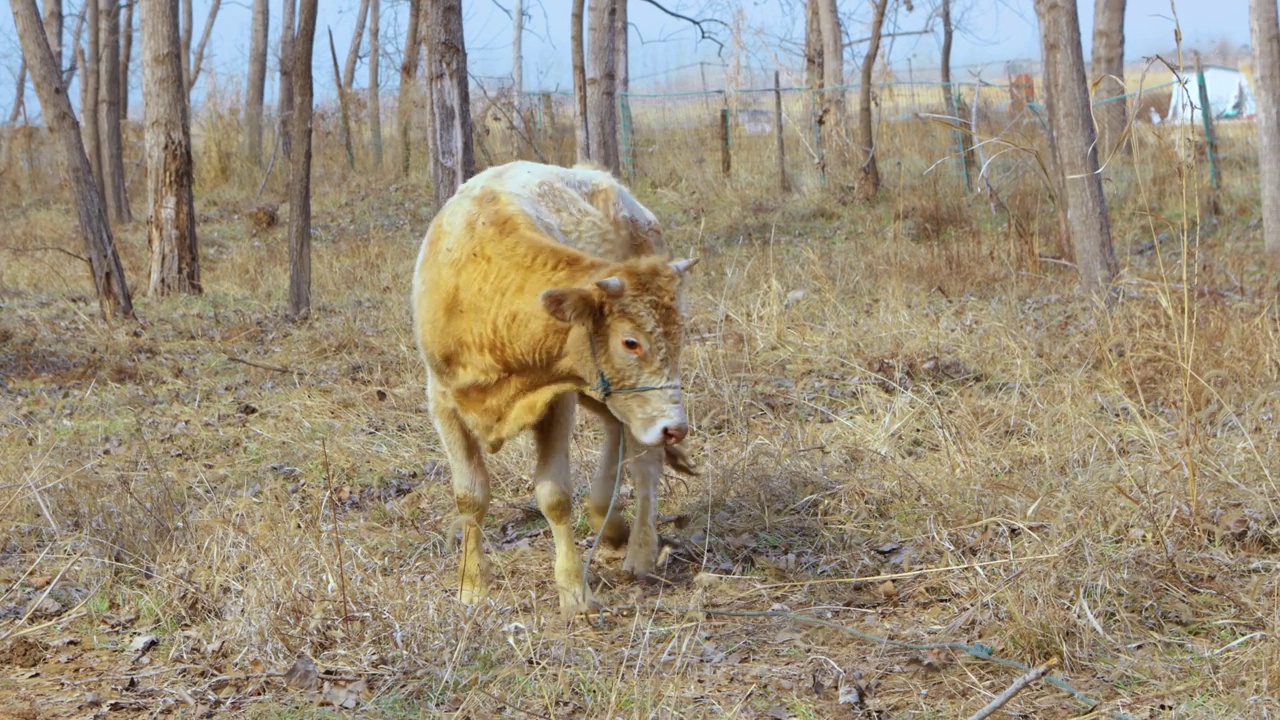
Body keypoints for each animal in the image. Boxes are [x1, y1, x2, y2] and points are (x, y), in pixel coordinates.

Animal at [412, 159, 701, 614]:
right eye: (630, 341)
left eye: (680, 336)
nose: (676, 427)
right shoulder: (442, 402)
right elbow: (470, 495)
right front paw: (472, 585)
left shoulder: (557, 401)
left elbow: (554, 495)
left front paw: (573, 590)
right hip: (609, 396)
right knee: (618, 433)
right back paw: (608, 522)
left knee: (644, 462)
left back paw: (639, 550)